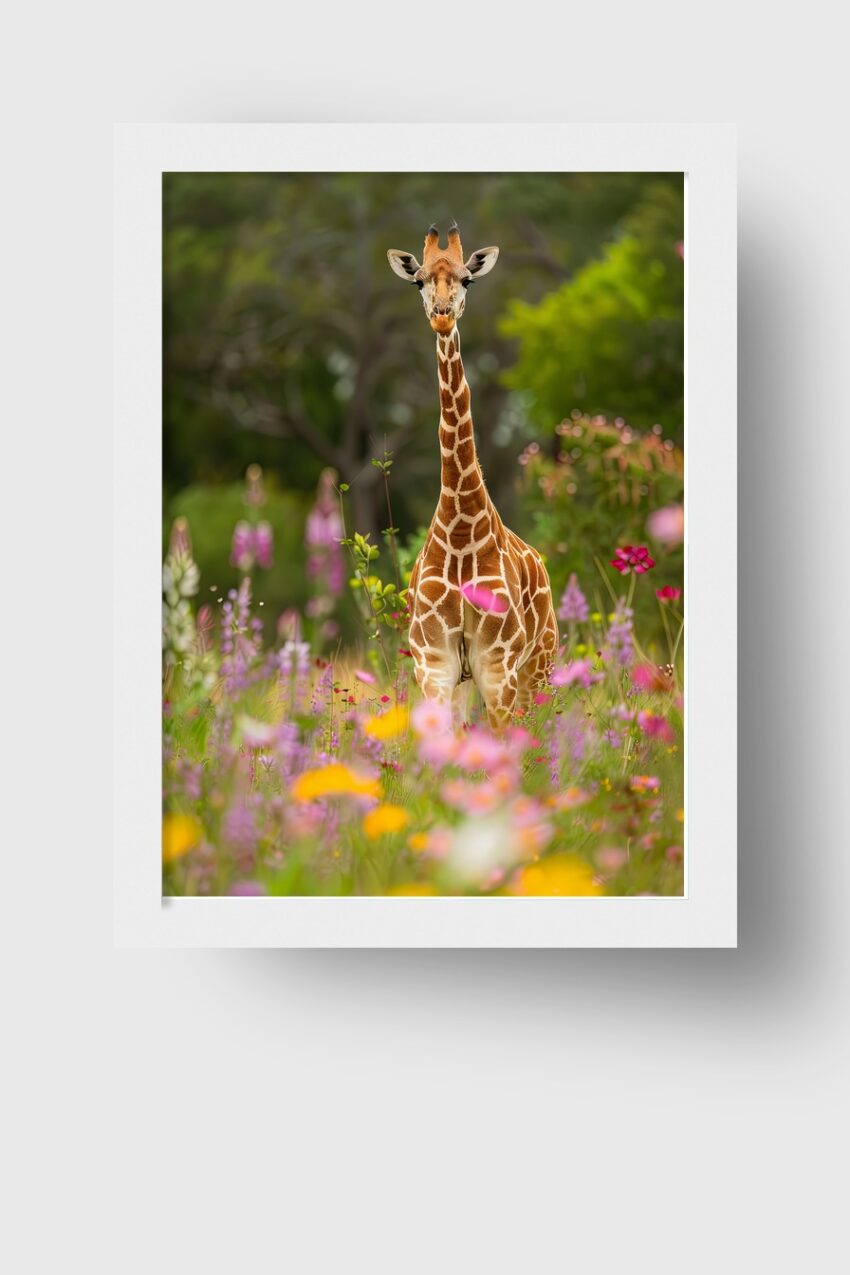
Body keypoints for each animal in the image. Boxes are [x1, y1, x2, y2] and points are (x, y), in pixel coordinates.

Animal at [387, 222, 558, 729]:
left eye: (467, 279)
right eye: (419, 280)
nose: (442, 317)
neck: (461, 524)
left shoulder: (498, 665)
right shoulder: (434, 663)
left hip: (538, 668)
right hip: (473, 682)